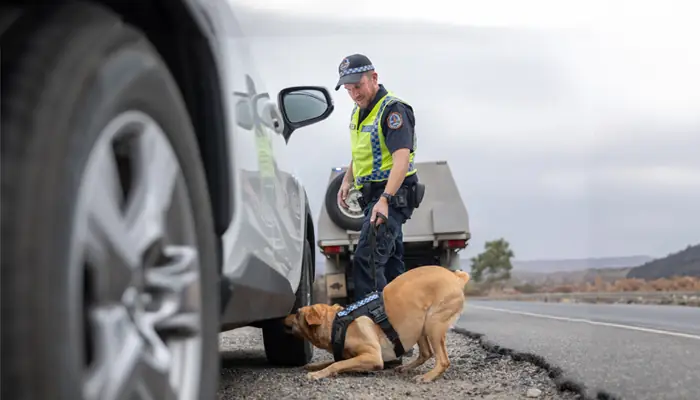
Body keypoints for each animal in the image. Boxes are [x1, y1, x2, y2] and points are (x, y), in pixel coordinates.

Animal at [284, 264, 470, 382]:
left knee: (443, 360)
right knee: (426, 353)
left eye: (298, 313)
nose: (283, 317)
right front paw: (315, 366)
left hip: (433, 324)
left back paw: (428, 377)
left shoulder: (372, 356)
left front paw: (318, 374)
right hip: (419, 325)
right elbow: (333, 362)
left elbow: (337, 363)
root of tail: (456, 276)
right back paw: (406, 367)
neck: (336, 324)